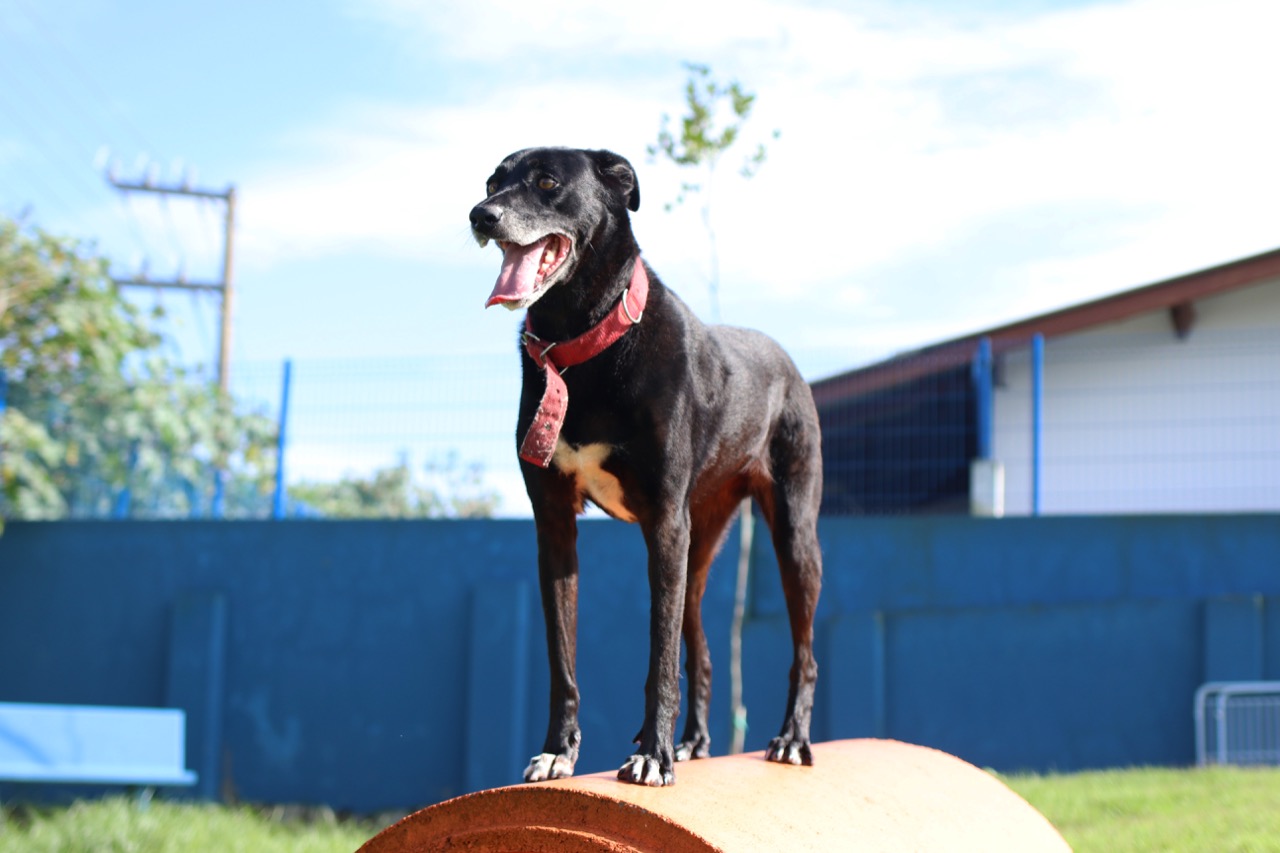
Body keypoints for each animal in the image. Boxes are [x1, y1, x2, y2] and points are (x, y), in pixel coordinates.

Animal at [468, 146, 819, 783]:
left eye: (547, 182)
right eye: (491, 182)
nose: (480, 216)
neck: (585, 343)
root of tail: (786, 360)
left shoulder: (663, 524)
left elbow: (659, 657)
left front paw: (652, 754)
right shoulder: (555, 526)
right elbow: (563, 659)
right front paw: (559, 751)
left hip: (792, 535)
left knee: (801, 653)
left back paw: (790, 739)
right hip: (698, 547)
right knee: (700, 649)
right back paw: (696, 741)